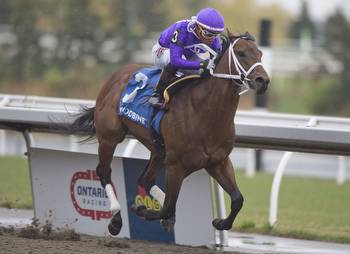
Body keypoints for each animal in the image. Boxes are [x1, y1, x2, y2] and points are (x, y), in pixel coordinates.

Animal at [69, 31, 270, 236]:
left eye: (260, 54)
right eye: (240, 53)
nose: (263, 81)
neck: (205, 113)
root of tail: (116, 76)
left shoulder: (218, 162)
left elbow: (238, 199)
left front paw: (220, 223)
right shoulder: (176, 166)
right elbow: (167, 208)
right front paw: (142, 209)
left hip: (158, 151)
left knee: (145, 179)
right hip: (109, 138)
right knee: (104, 172)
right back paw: (116, 220)